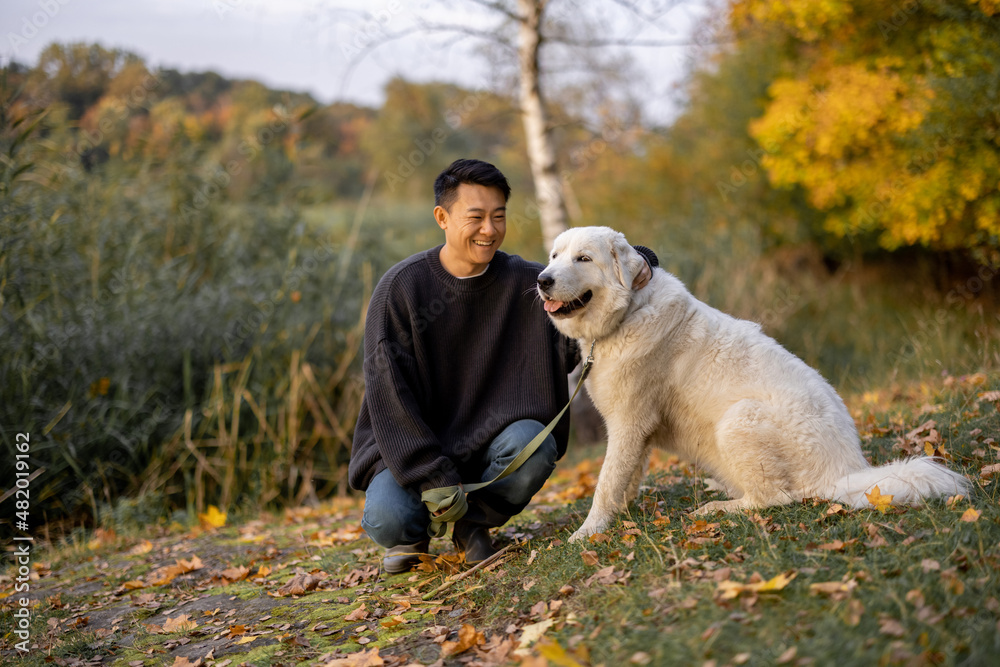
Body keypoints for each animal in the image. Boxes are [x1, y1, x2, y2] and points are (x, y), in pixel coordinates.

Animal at [540, 226, 968, 544]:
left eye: (583, 258)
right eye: (554, 256)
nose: (542, 279)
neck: (630, 312)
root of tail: (846, 471)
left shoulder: (628, 423)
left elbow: (606, 482)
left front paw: (588, 531)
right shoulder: (636, 432)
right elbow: (625, 478)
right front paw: (621, 513)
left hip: (737, 418)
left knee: (775, 498)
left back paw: (718, 508)